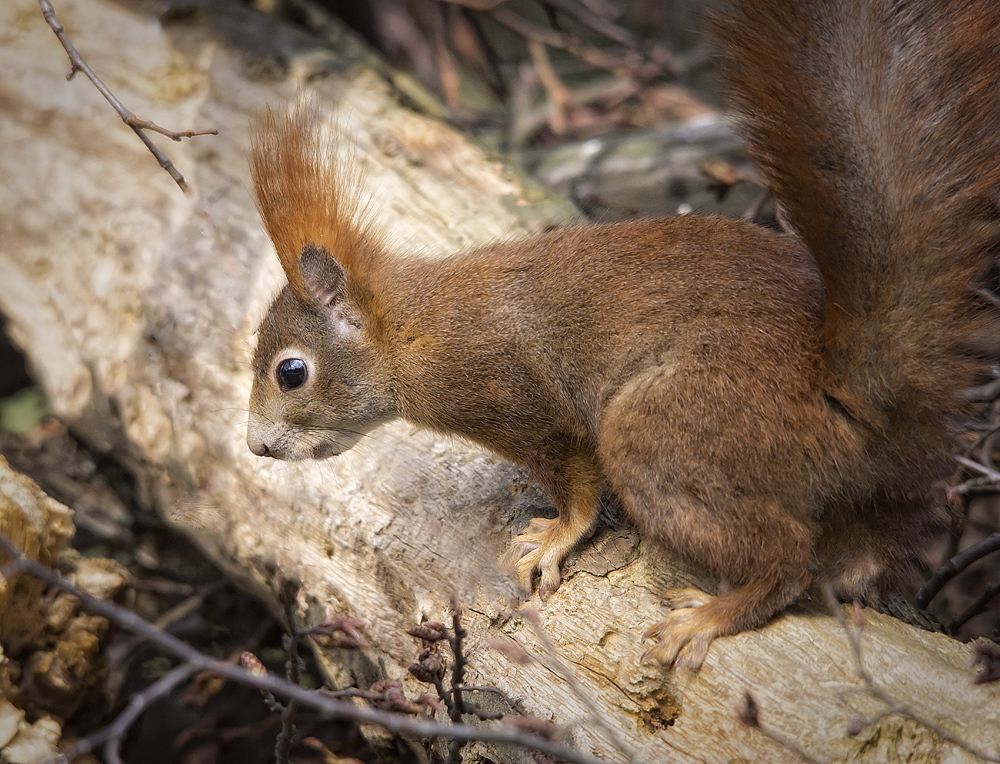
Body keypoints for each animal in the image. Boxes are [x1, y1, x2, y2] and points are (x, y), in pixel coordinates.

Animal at [246, 1, 1000, 668]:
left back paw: (710, 616)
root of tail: (847, 389)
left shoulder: (511, 391)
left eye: (292, 371)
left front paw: (555, 538)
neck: (410, 332)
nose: (256, 447)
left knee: (788, 561)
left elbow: (576, 477)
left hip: (667, 430)